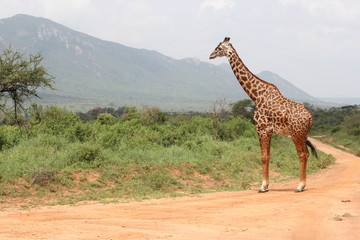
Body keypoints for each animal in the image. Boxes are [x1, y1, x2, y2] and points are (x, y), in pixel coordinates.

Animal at [208, 36, 318, 192]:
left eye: (218, 48)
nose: (210, 55)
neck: (256, 95)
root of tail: (309, 118)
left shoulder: (261, 128)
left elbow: (263, 156)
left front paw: (262, 186)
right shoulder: (269, 131)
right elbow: (268, 155)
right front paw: (266, 185)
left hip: (296, 134)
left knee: (302, 154)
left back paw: (300, 186)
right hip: (302, 134)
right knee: (306, 153)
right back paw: (302, 184)